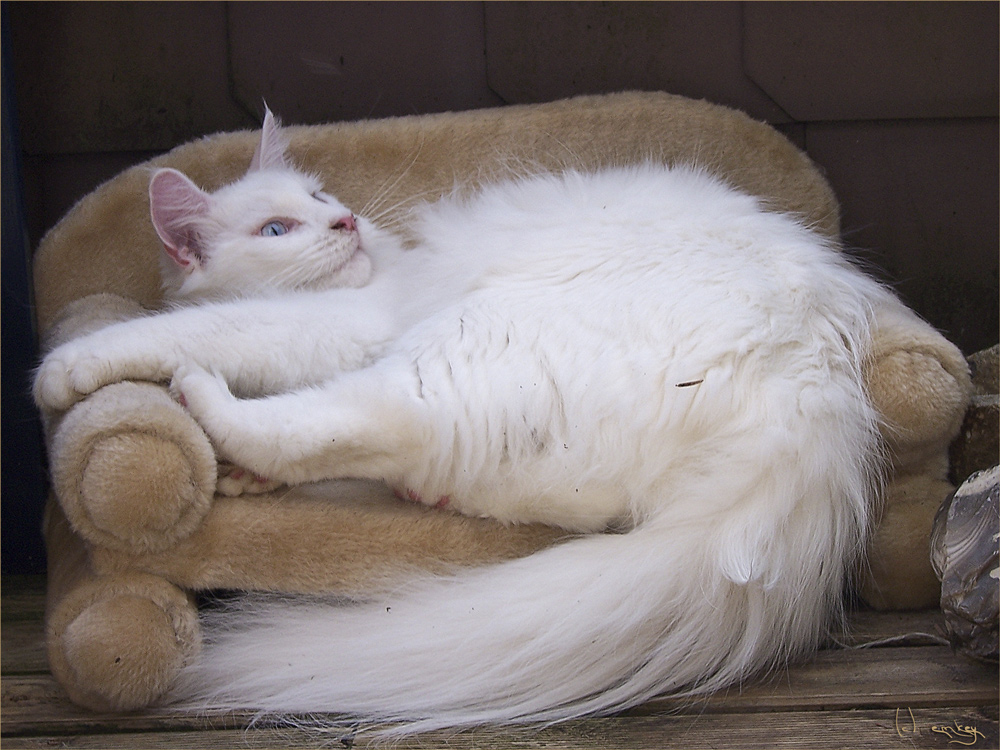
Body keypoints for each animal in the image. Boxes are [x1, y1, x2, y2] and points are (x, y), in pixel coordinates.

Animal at [37, 110, 900, 736]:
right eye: (276, 229)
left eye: (318, 201)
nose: (345, 223)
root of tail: (812, 377)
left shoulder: (341, 323)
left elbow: (187, 331)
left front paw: (61, 369)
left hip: (455, 346)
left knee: (360, 419)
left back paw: (205, 406)